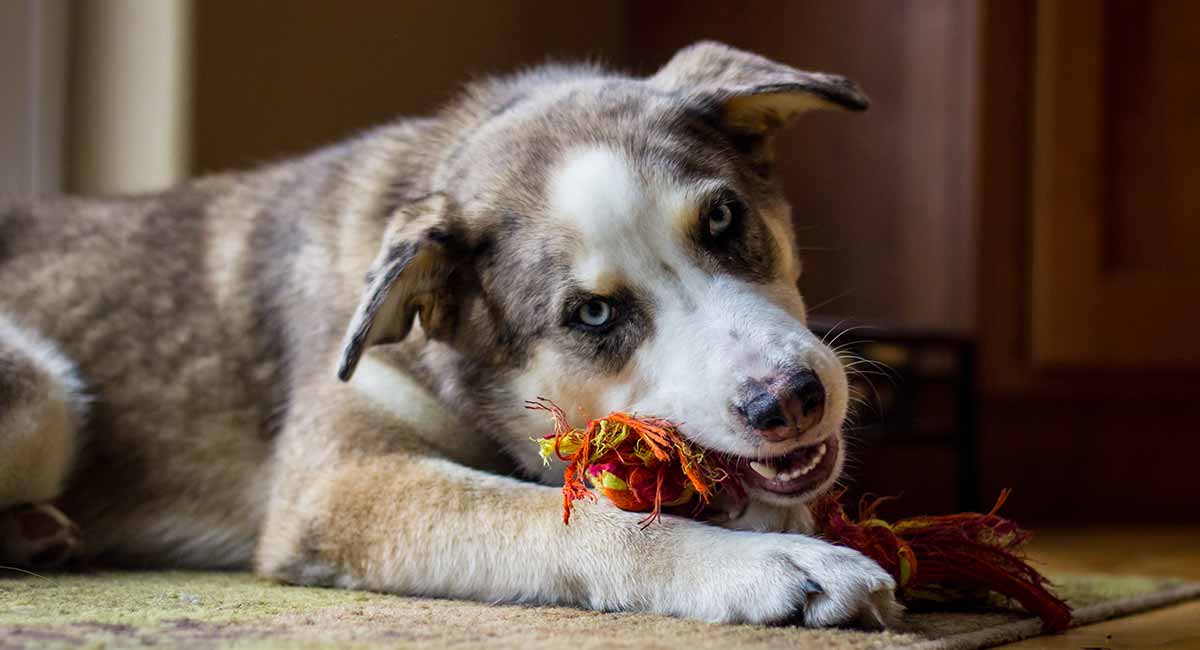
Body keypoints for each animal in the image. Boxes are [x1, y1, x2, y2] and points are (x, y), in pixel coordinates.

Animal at [2, 39, 902, 628]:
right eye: (593, 315)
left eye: (722, 219)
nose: (791, 401)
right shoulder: (340, 486)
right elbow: (567, 518)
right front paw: (772, 567)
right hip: (42, 391)